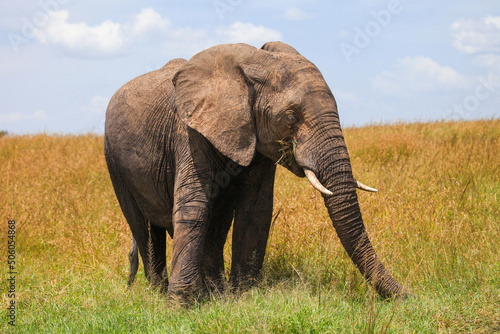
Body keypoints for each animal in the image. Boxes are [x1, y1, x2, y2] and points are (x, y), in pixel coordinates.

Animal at [102, 41, 410, 302]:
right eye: (291, 117)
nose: (410, 297)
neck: (256, 65)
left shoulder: (257, 138)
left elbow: (256, 209)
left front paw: (243, 297)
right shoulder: (189, 131)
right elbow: (193, 205)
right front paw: (178, 307)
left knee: (213, 226)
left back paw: (215, 293)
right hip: (113, 159)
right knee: (143, 227)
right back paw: (159, 292)